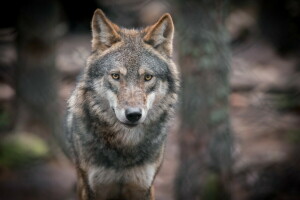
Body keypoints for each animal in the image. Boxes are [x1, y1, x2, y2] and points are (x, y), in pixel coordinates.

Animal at [64, 8, 179, 200]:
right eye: (116, 76)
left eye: (148, 77)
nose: (133, 115)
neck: (125, 147)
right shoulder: (93, 189)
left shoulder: (143, 188)